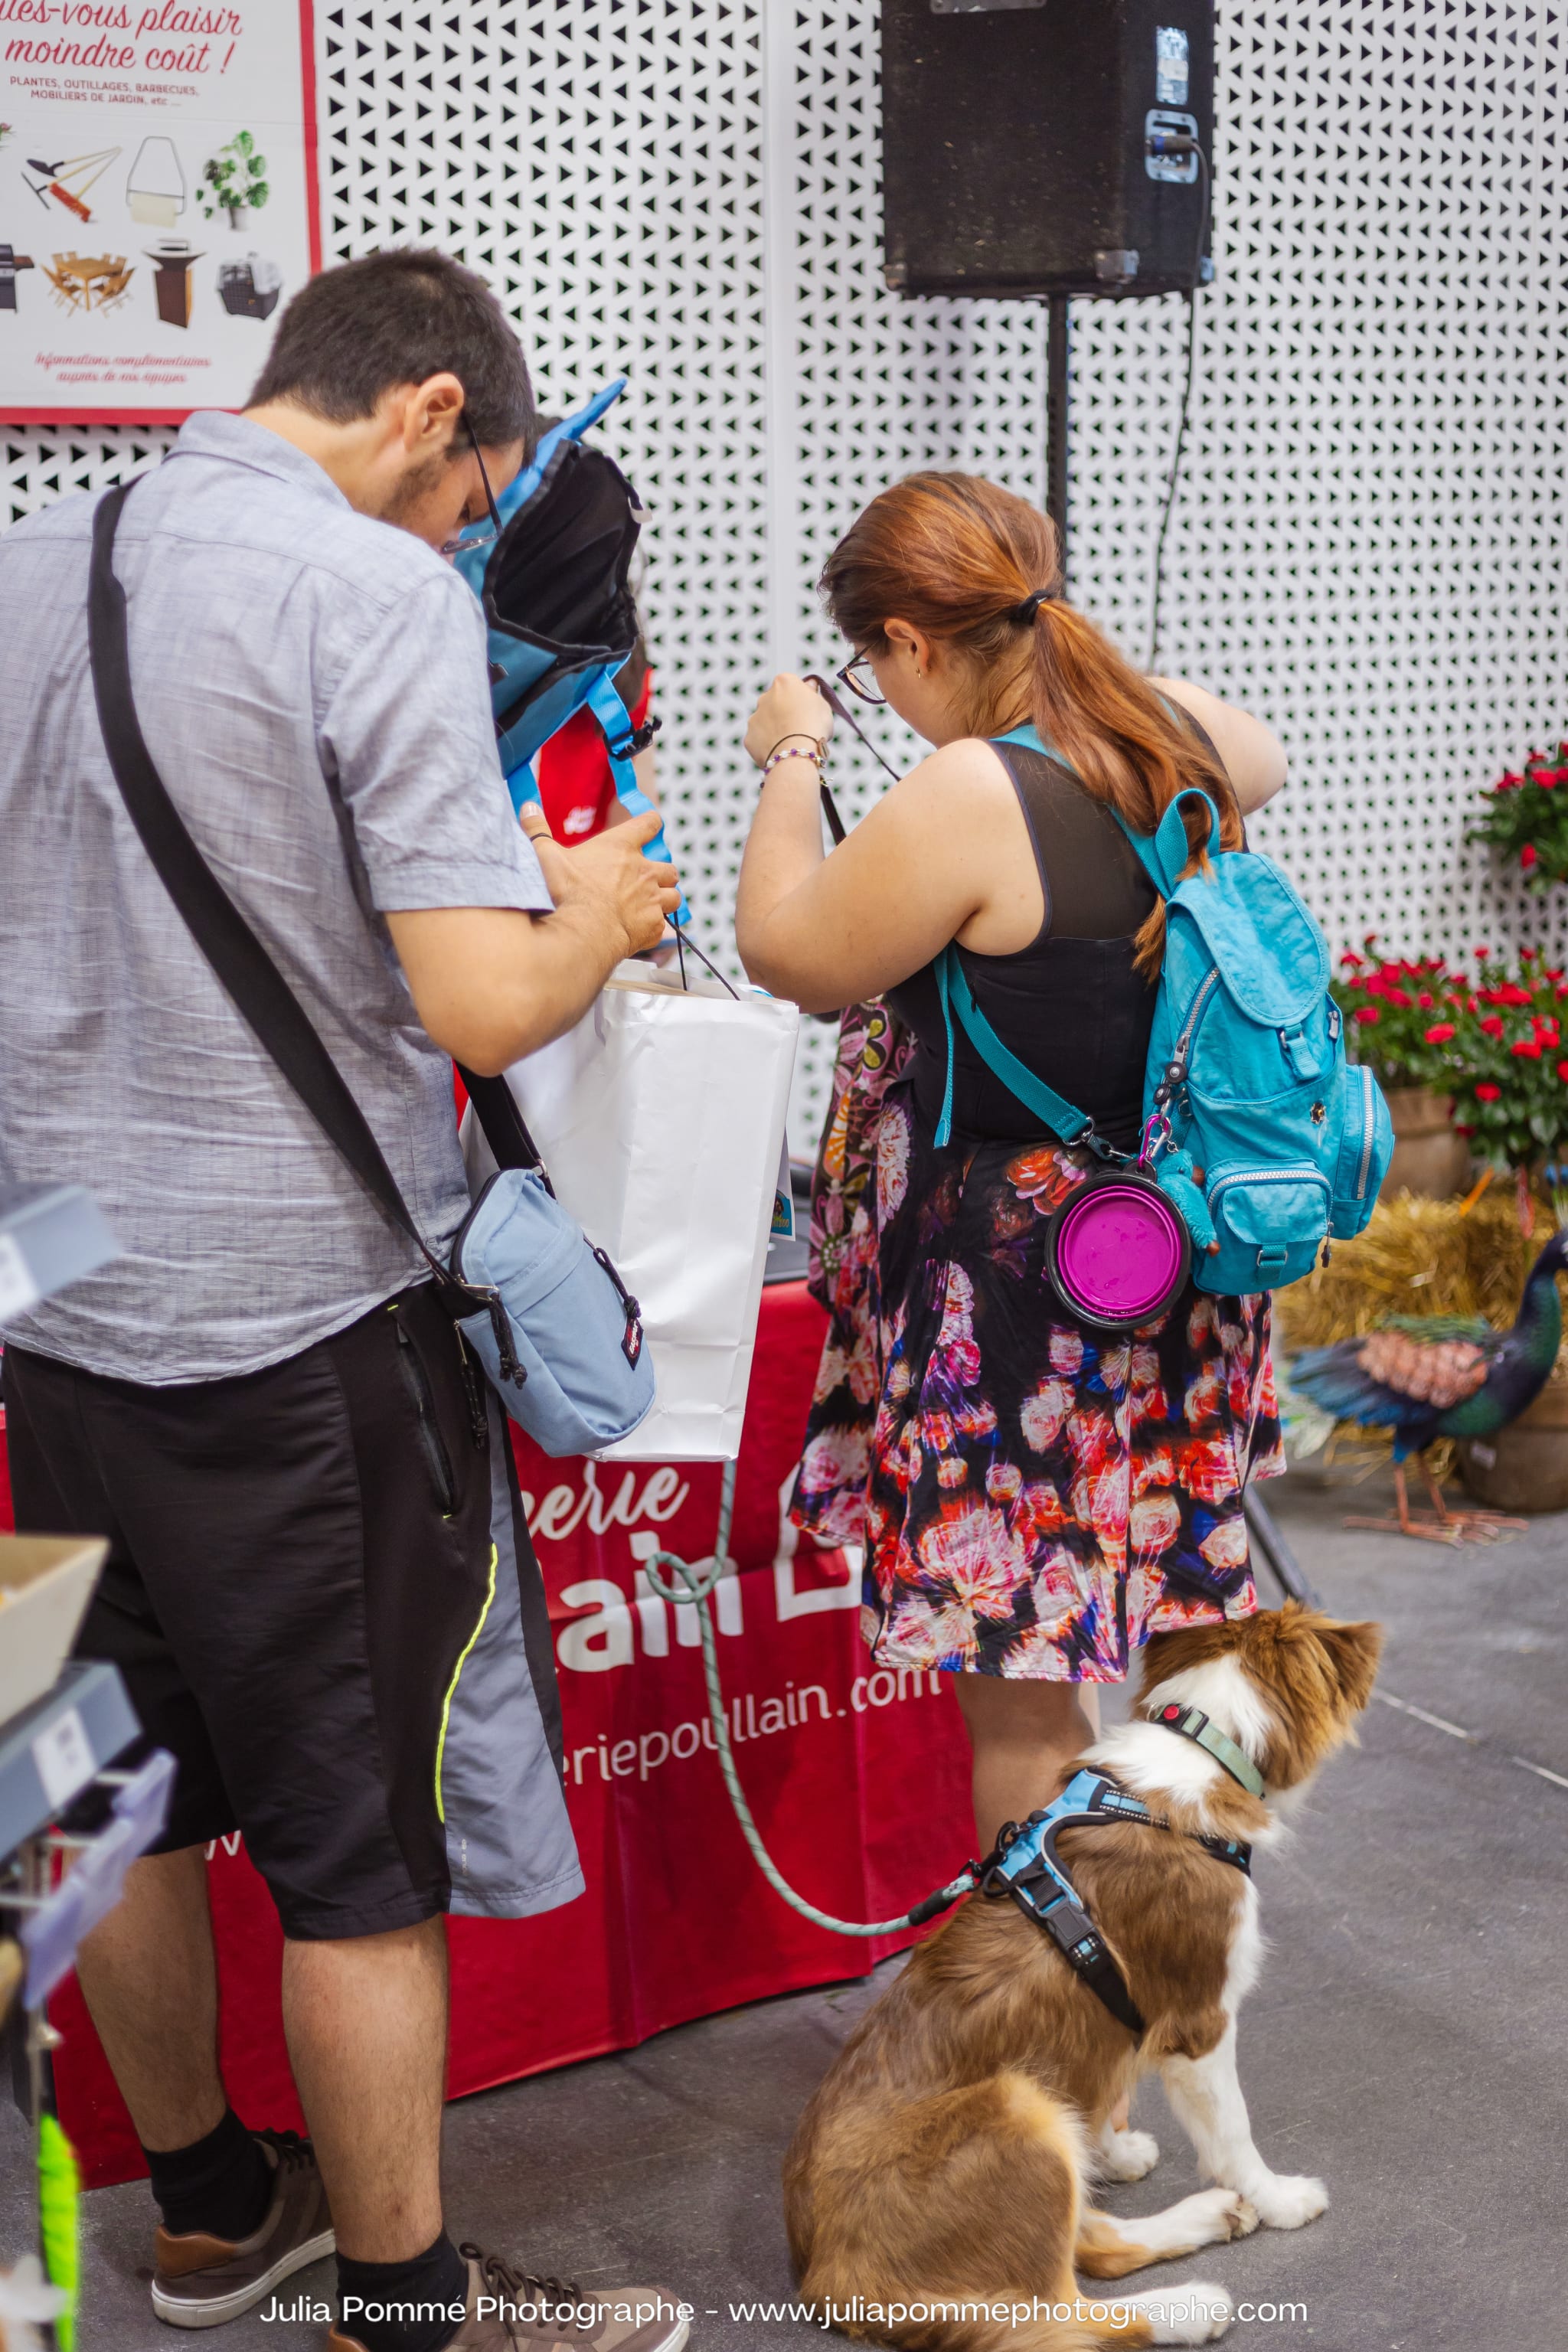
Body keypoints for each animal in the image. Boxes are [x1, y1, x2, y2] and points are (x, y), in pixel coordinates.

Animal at [780, 1609, 1382, 2342]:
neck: (1201, 1745)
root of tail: (827, 2277)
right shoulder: (1200, 2023)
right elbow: (1233, 2132)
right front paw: (1278, 2199)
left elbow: (1102, 2085)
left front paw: (1110, 2152)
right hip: (1017, 2107)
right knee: (1066, 2313)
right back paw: (1193, 2307)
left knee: (1089, 2248)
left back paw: (1203, 2216)